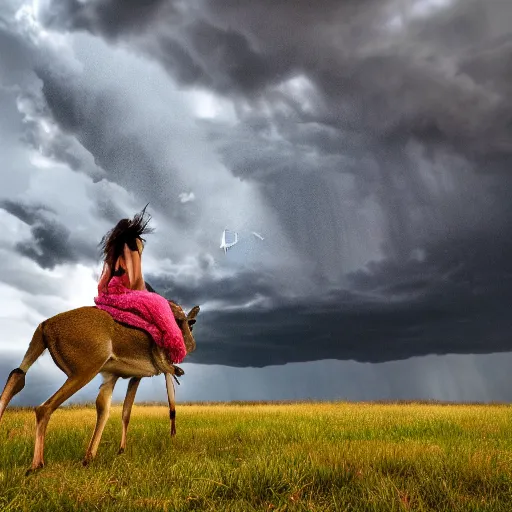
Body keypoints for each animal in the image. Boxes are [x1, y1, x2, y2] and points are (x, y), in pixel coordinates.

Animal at [0, 300, 200, 476]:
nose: (189, 344)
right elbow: (166, 406)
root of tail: (46, 324)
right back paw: (36, 465)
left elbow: (112, 410)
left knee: (17, 375)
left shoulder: (115, 377)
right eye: (182, 322)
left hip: (39, 355)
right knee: (44, 408)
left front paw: (96, 456)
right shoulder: (147, 374)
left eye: (190, 324)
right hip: (84, 372)